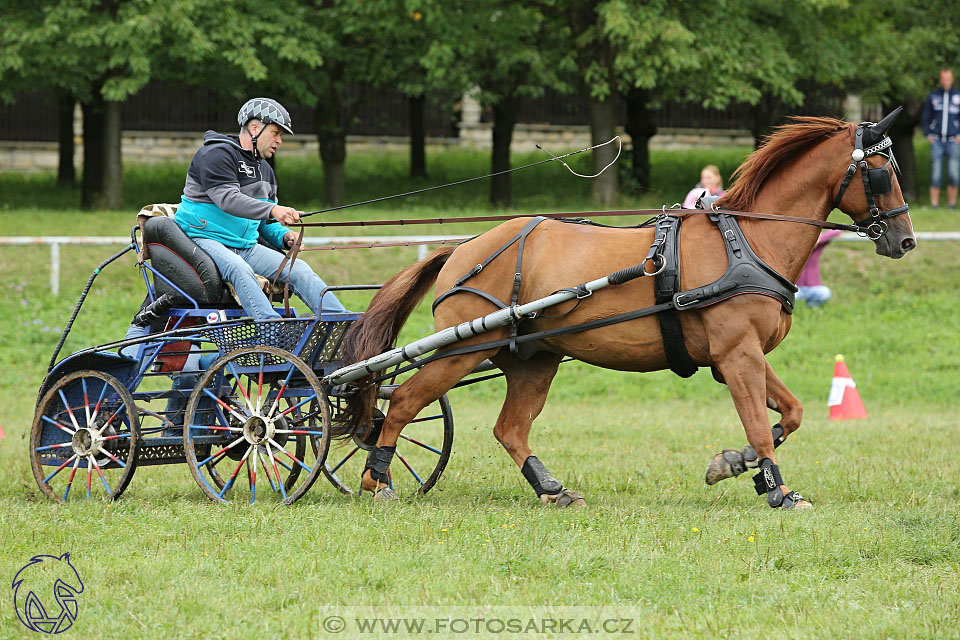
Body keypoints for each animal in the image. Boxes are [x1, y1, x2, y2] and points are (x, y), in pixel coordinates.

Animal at [338, 110, 916, 510]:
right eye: (881, 172)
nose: (906, 240)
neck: (747, 240)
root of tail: (464, 247)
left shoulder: (742, 354)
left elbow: (790, 413)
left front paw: (734, 463)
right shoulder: (737, 355)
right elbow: (757, 420)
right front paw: (776, 488)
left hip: (532, 359)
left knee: (510, 428)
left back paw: (552, 489)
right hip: (460, 348)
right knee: (405, 401)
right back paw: (377, 479)